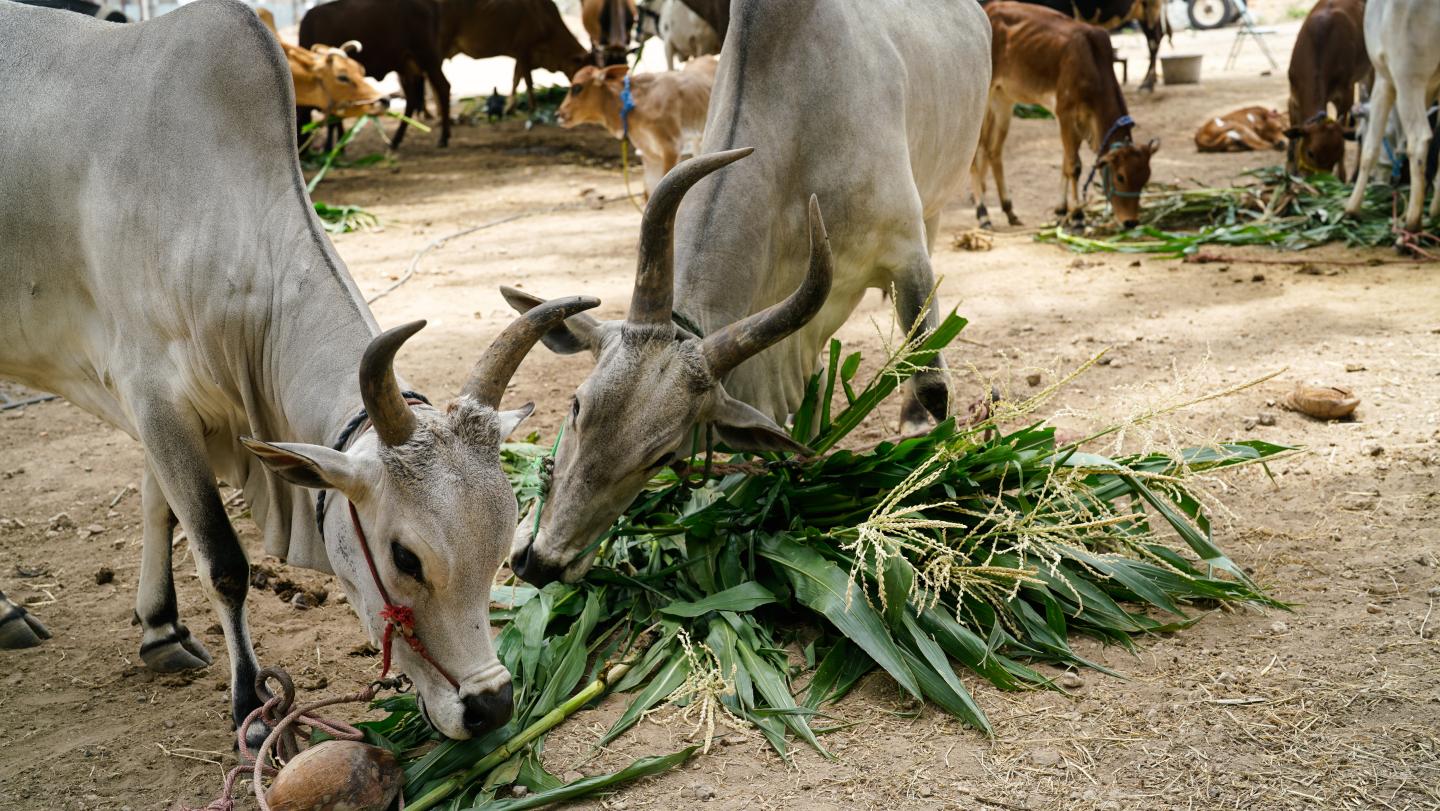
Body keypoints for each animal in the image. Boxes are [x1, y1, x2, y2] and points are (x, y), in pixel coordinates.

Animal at [300, 0, 451, 149]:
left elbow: (334, 120)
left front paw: (333, 148)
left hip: (428, 58)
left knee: (444, 87)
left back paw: (443, 138)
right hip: (406, 66)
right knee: (412, 99)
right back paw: (396, 140)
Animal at [438, 0, 590, 114]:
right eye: (582, 68)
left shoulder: (520, 56)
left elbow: (516, 79)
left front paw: (510, 108)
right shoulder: (523, 49)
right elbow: (528, 81)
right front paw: (533, 107)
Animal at [1285, 0, 1371, 178]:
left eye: (1338, 153)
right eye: (1310, 153)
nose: (1317, 180)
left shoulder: (1346, 93)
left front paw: (1342, 177)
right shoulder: (1293, 96)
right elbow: (1292, 132)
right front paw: (1289, 171)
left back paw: (1355, 174)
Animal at [1345, 0, 1440, 233]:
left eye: (1358, 136)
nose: (1376, 181)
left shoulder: (1383, 78)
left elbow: (1370, 149)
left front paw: (1351, 208)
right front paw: (1434, 210)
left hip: (1408, 77)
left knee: (1420, 139)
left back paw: (1412, 222)